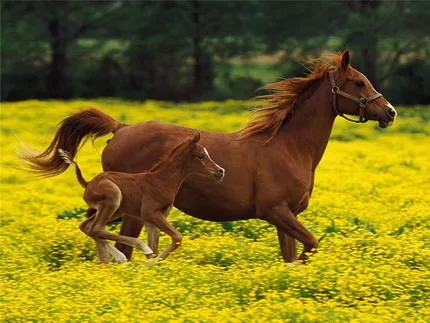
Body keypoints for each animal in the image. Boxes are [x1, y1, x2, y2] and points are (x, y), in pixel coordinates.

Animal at [20, 50, 396, 264]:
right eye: (359, 82)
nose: (390, 112)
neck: (289, 148)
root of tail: (121, 128)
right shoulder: (276, 211)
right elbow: (311, 245)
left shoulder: (284, 218)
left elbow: (290, 257)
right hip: (130, 211)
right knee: (113, 240)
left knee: (95, 230)